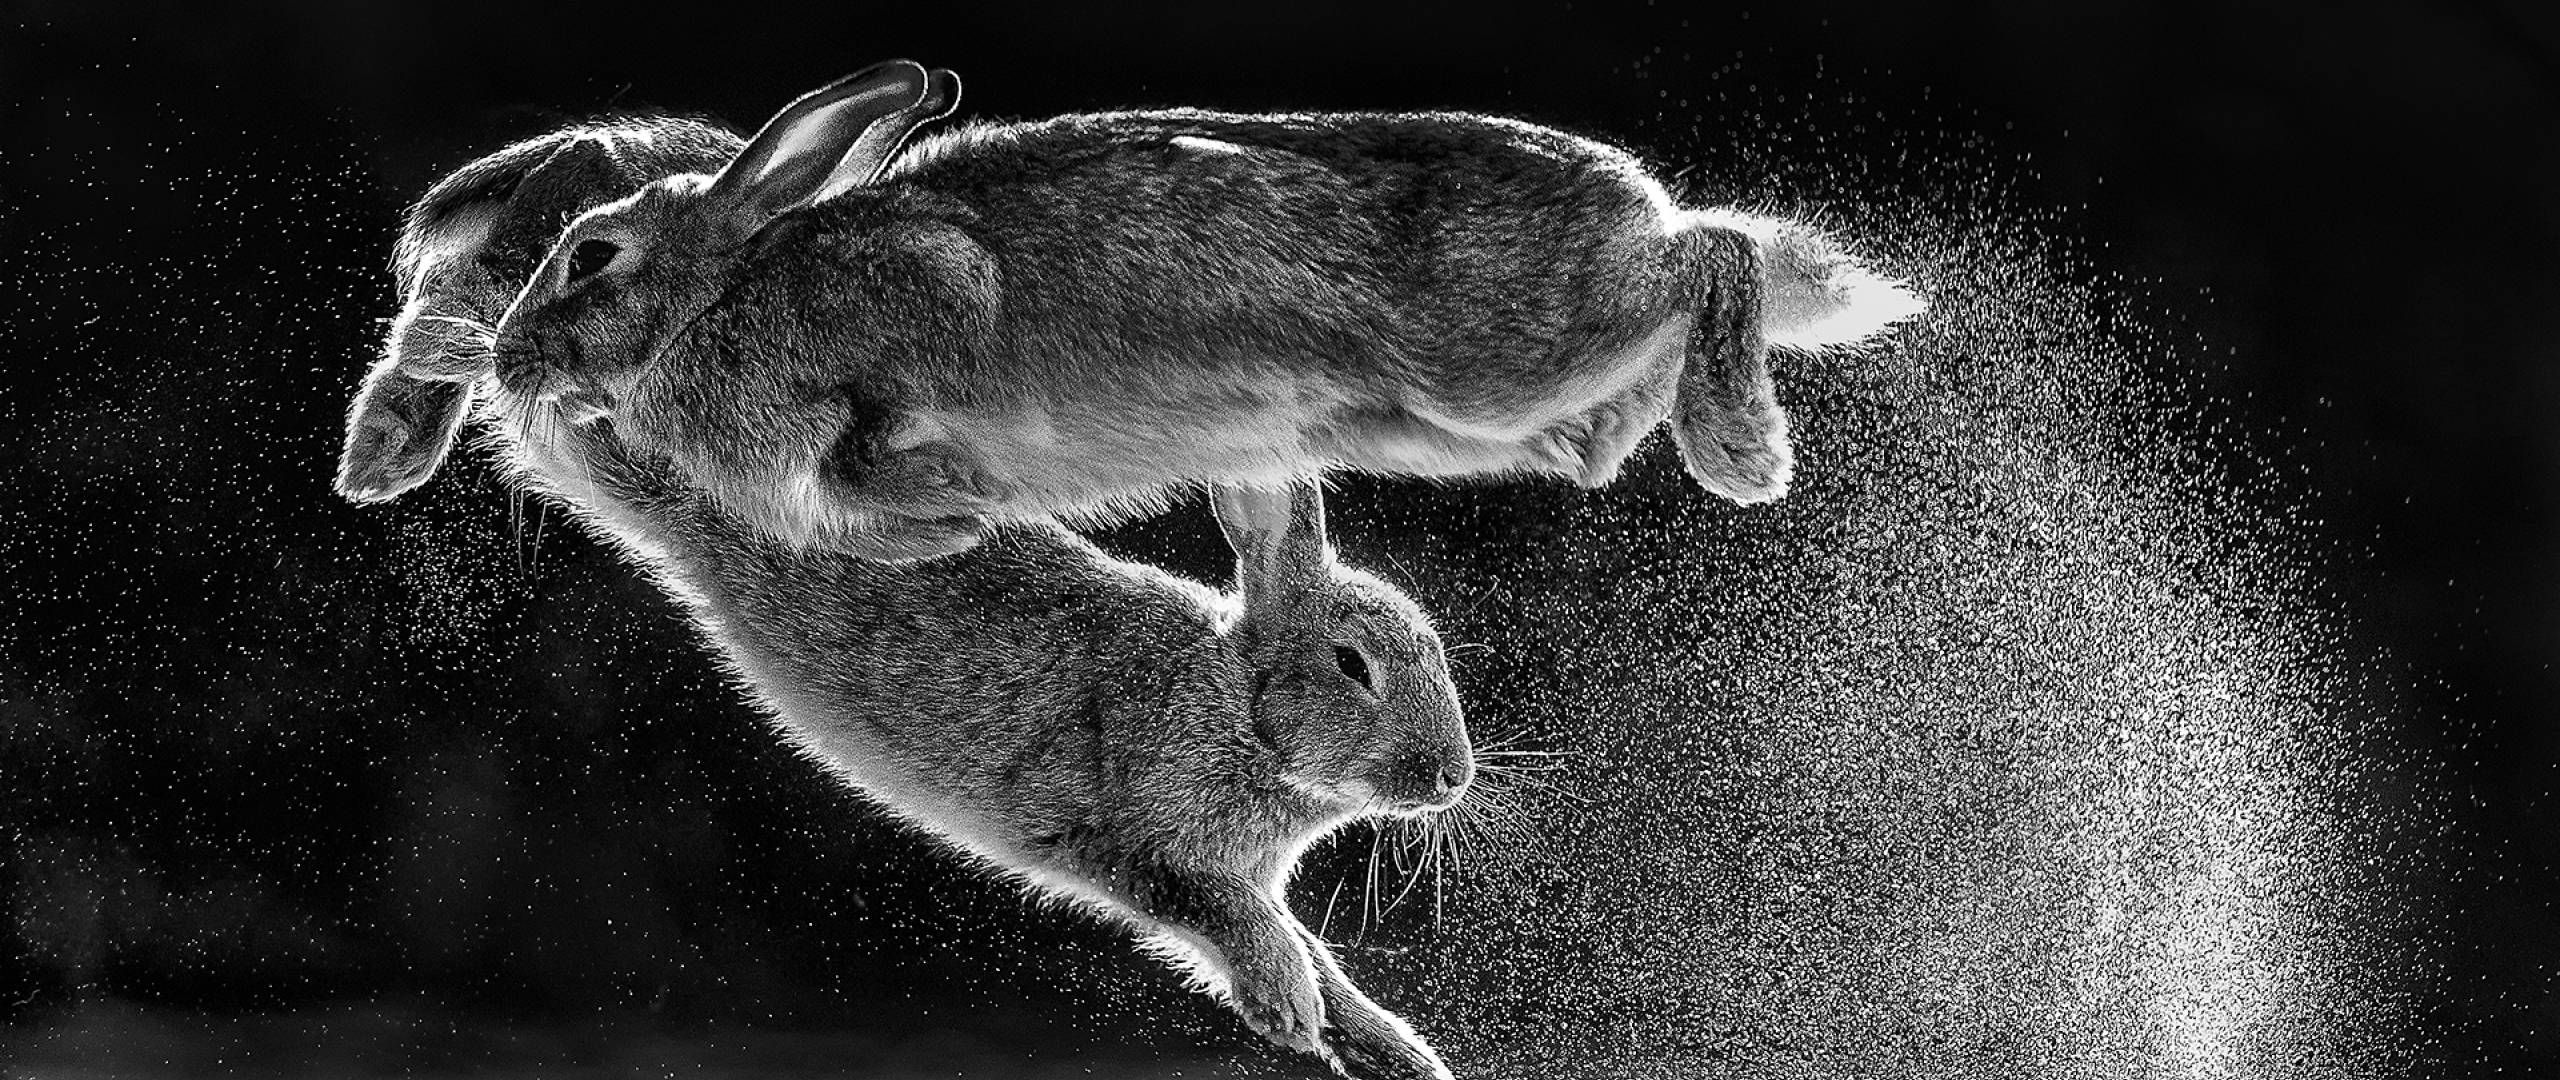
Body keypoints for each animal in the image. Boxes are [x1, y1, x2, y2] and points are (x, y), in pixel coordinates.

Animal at [340, 121, 1472, 1080]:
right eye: (1353, 664)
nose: (1450, 778)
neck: (1236, 702)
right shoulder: (1139, 840)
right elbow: (1242, 926)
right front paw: (1289, 1011)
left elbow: (1318, 954)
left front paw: (1392, 1052)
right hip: (609, 415)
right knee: (478, 320)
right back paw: (390, 442)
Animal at [489, 60, 1926, 560]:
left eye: (591, 257)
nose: (504, 362)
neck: (725, 292)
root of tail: (1633, 200)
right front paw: (938, 528)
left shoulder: (923, 297)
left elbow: (879, 428)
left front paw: (941, 491)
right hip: (1487, 416)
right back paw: (1639, 433)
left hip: (1496, 359)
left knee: (1718, 254)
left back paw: (1741, 448)